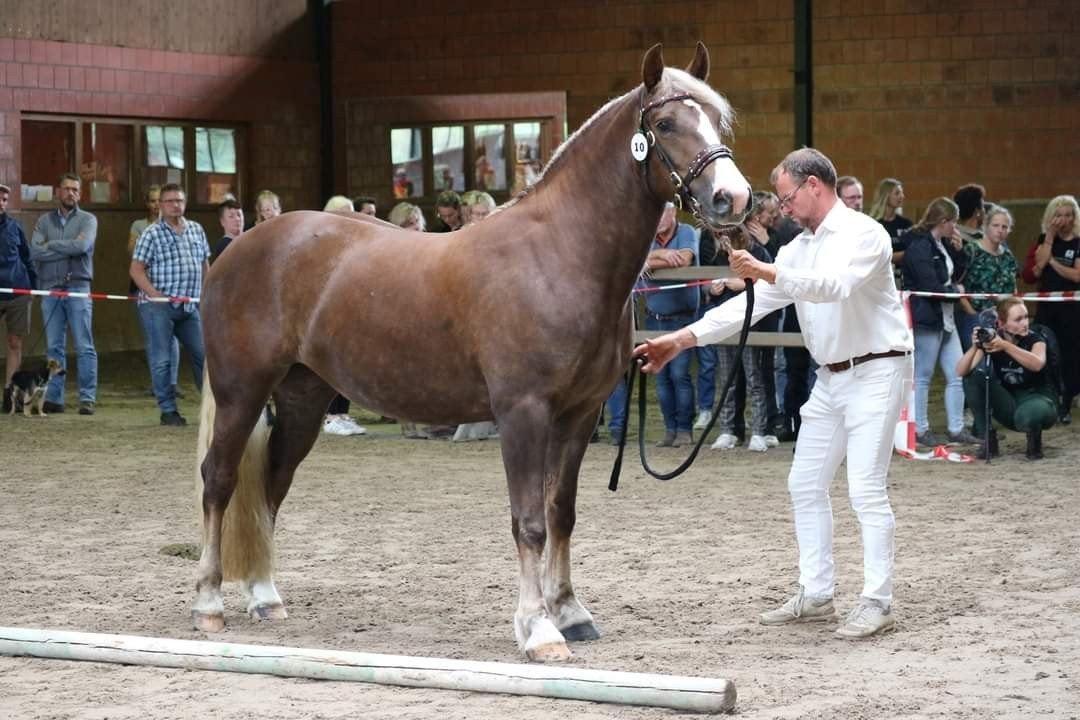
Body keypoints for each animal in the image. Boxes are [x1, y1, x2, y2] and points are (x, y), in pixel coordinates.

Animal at [194, 42, 752, 662]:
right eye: (666, 123)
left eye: (717, 118)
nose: (733, 198)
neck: (559, 256)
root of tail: (238, 250)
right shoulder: (522, 412)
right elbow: (529, 521)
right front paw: (539, 630)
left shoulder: (579, 415)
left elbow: (561, 512)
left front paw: (571, 612)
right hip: (242, 391)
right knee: (219, 480)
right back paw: (210, 604)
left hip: (302, 398)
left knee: (271, 484)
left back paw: (266, 597)